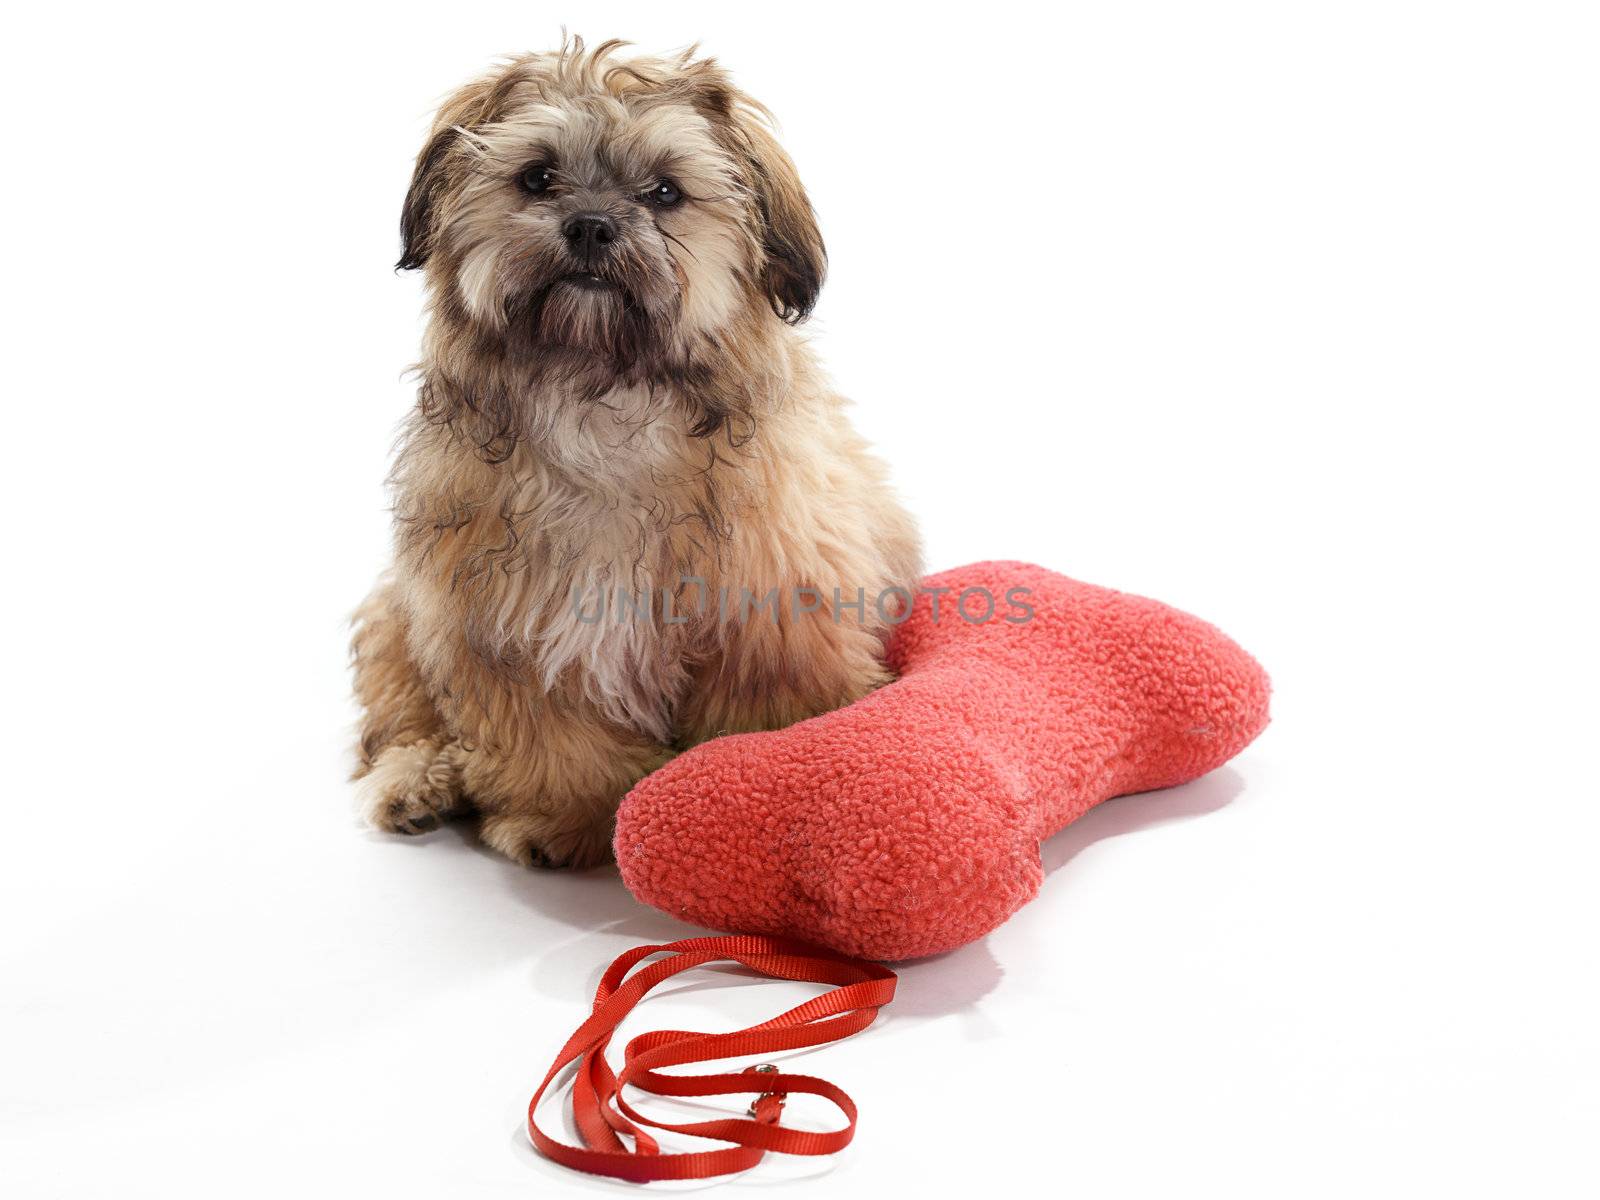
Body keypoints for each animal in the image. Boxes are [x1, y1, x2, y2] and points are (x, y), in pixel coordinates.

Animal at [350, 37, 928, 864]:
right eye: (538, 177)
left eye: (664, 192)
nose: (591, 225)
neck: (604, 400)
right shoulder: (495, 623)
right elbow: (553, 742)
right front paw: (567, 820)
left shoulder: (771, 615)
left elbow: (759, 718)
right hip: (395, 619)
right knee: (399, 721)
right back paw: (417, 781)